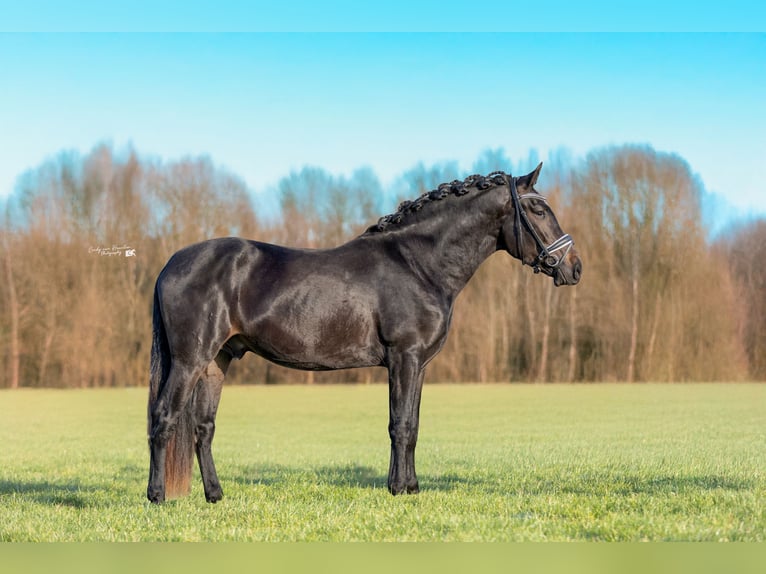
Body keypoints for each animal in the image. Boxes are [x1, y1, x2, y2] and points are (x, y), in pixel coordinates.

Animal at [147, 163, 582, 503]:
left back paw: (215, 495)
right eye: (538, 208)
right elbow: (399, 425)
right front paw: (398, 489)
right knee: (163, 417)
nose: (574, 267)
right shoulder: (403, 357)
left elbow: (412, 425)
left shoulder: (419, 365)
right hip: (189, 361)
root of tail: (171, 263)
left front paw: (411, 486)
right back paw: (157, 495)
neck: (418, 265)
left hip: (216, 361)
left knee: (203, 428)